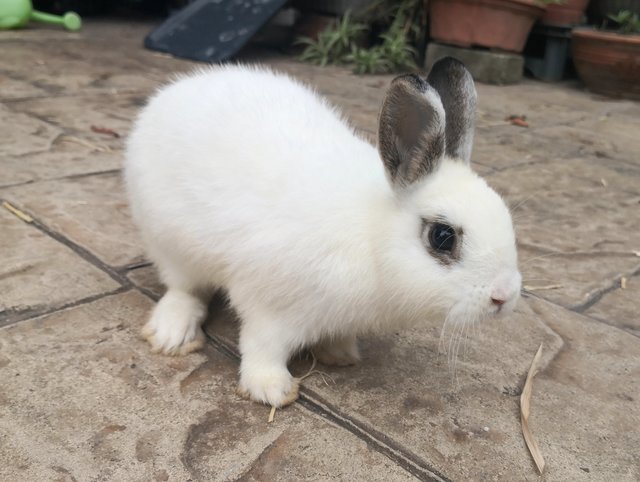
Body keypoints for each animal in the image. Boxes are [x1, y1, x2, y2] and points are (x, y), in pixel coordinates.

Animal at [124, 58, 520, 408]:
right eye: (442, 236)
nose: (504, 296)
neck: (372, 235)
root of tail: (176, 89)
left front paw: (340, 353)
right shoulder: (267, 303)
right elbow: (261, 346)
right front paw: (272, 389)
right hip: (170, 243)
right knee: (183, 288)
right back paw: (172, 335)